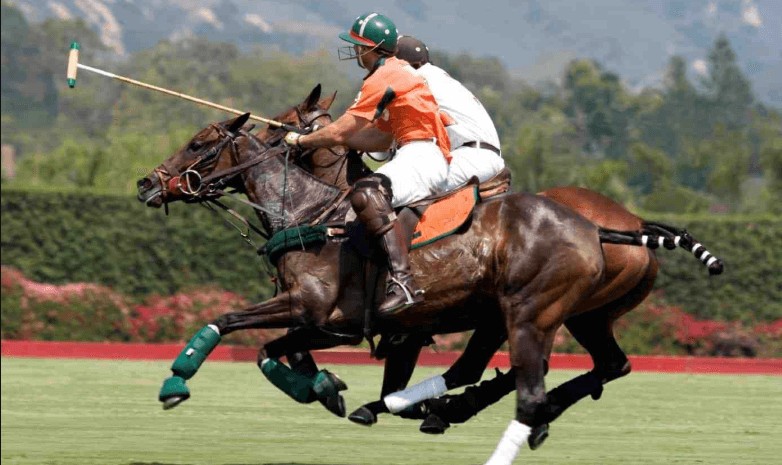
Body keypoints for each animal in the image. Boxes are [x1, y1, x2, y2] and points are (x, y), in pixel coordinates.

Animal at [136, 84, 668, 463]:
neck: (315, 213)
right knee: (599, 364)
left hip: (529, 312)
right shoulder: (335, 326)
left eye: (198, 144)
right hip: (570, 316)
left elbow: (226, 322)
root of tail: (609, 226)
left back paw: (462, 411)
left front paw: (175, 384)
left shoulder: (315, 310)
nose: (146, 183)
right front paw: (326, 389)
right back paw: (450, 409)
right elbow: (276, 352)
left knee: (524, 380)